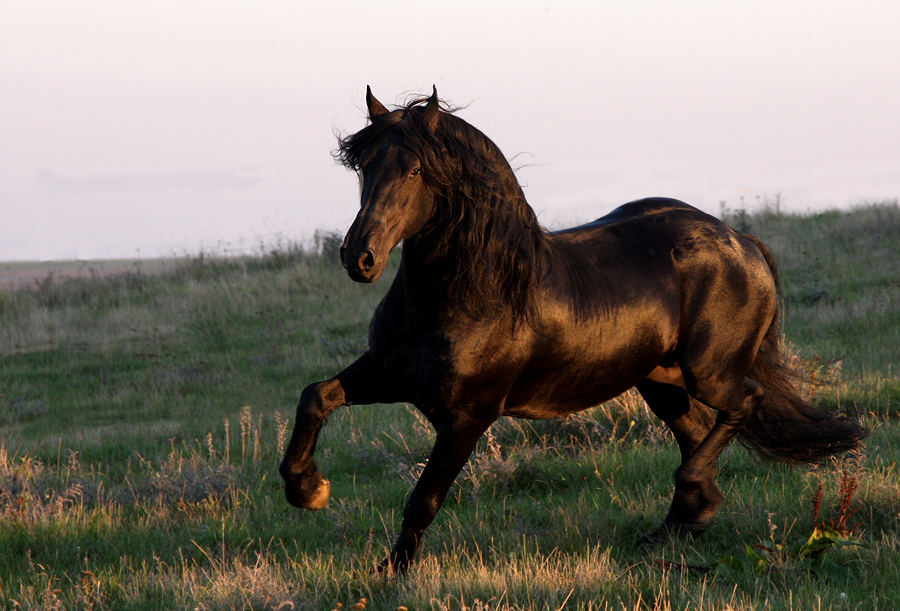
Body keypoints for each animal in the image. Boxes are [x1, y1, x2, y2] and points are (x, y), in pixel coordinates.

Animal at [280, 87, 864, 572]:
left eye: (416, 171)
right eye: (364, 166)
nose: (360, 258)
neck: (472, 294)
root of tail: (740, 240)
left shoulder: (468, 416)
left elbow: (424, 497)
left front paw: (391, 573)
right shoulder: (387, 373)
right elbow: (316, 396)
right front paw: (308, 490)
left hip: (709, 372)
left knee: (744, 402)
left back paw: (685, 508)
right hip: (661, 381)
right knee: (700, 432)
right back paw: (675, 529)